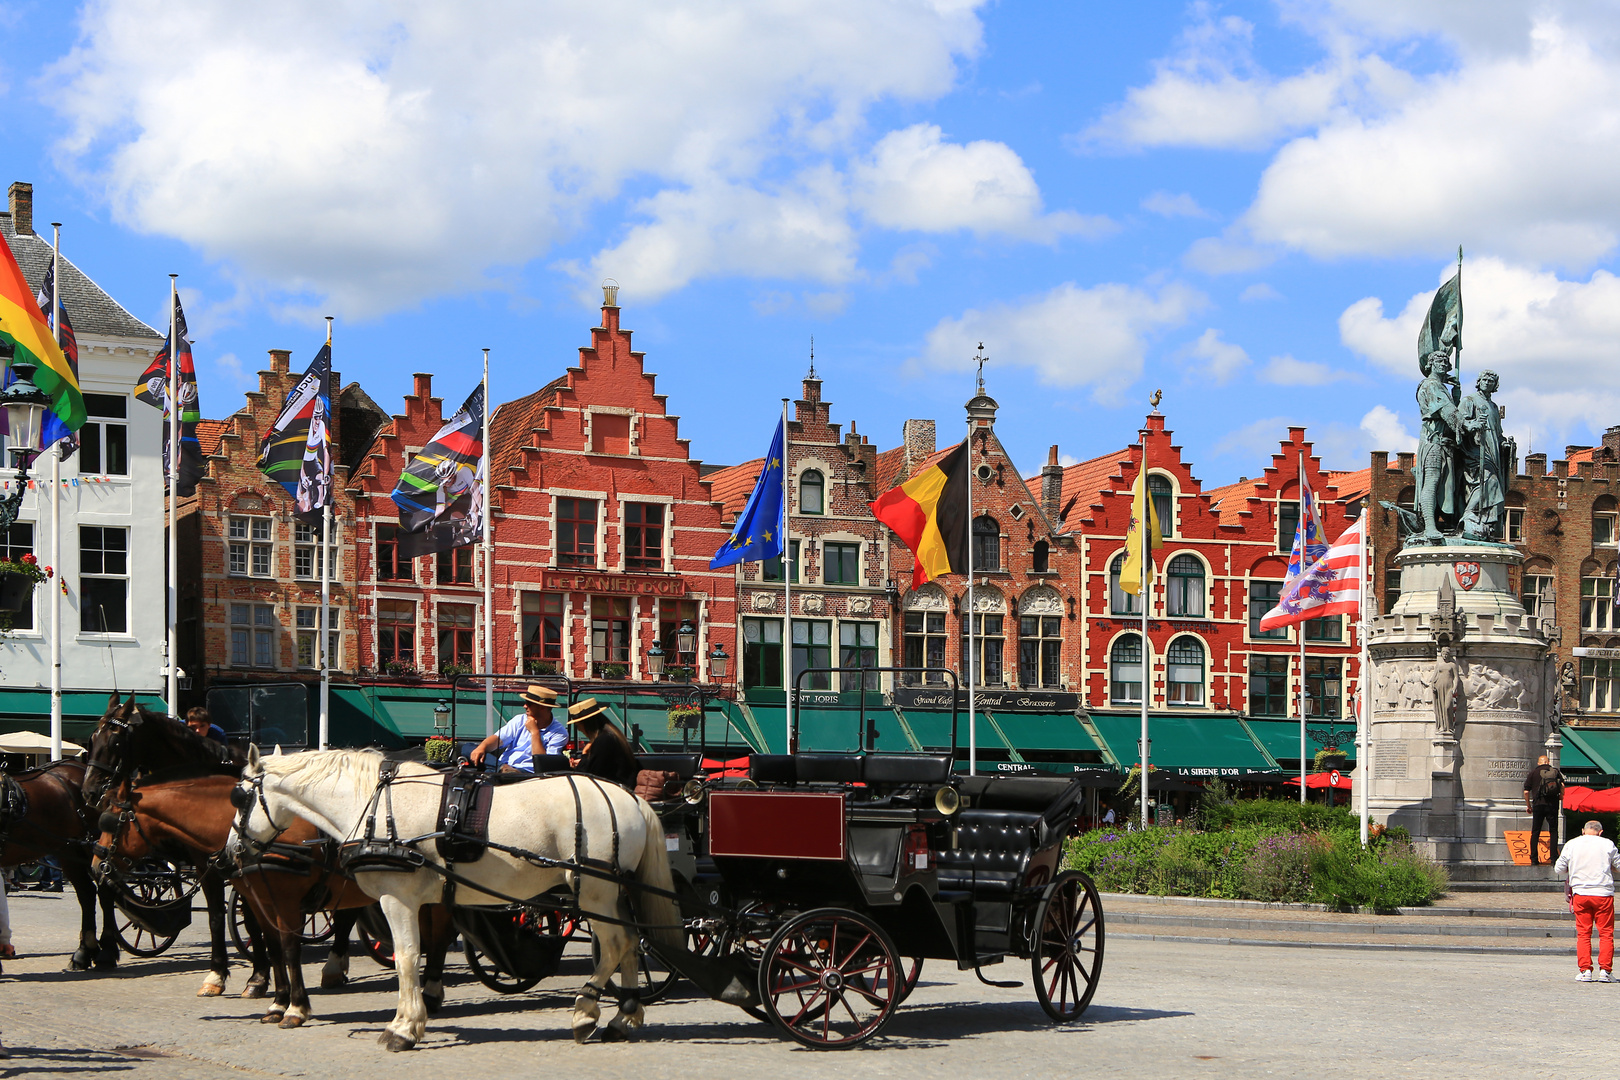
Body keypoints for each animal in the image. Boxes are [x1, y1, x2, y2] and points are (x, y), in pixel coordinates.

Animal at [0, 761, 120, 971]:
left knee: (105, 892)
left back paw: (107, 951)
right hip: (70, 851)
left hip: (97, 847)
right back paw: (83, 952)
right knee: (87, 893)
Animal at [80, 693, 270, 997]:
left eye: (115, 741)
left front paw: (258, 977)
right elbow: (215, 917)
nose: (89, 791)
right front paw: (216, 975)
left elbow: (250, 918)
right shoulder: (204, 864)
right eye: (92, 739)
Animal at [94, 773, 456, 1029]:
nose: (97, 866)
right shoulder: (259, 899)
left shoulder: (286, 901)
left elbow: (290, 948)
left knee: (439, 933)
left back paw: (431, 991)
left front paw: (295, 1007)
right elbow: (270, 945)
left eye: (111, 823)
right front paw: (276, 1001)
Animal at [231, 748, 680, 1049]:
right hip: (612, 894)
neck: (375, 804)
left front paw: (403, 1027)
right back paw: (624, 1016)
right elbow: (421, 953)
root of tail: (631, 798)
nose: (232, 850)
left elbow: (407, 958)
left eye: (239, 797)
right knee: (630, 944)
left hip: (594, 891)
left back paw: (586, 1012)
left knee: (617, 944)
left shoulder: (398, 899)